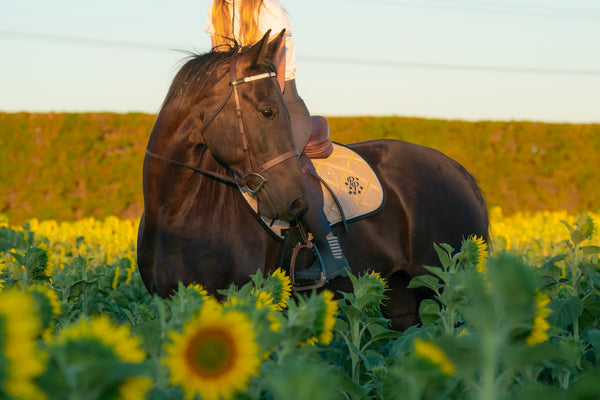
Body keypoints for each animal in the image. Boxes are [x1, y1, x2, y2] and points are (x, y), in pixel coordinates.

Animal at [138, 30, 490, 332]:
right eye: (267, 111)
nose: (295, 202)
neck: (176, 209)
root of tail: (459, 172)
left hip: (447, 290)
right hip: (404, 299)